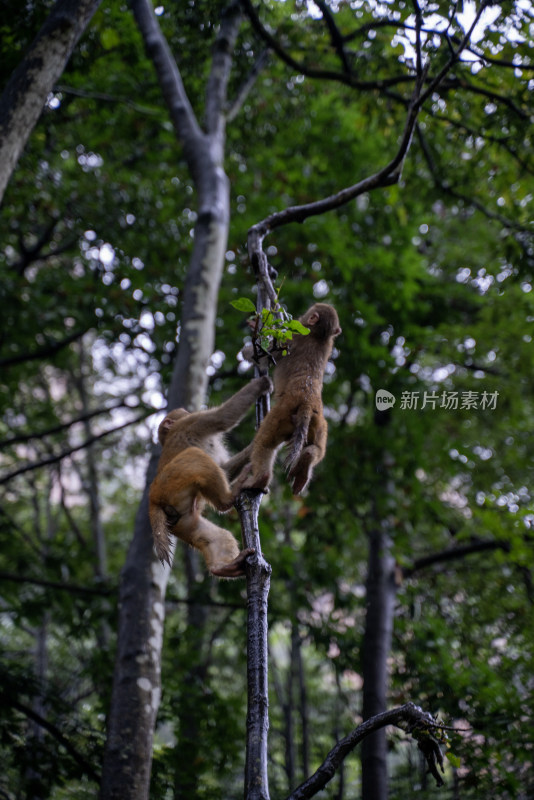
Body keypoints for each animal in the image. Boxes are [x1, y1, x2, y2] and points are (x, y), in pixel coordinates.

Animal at [150, 376, 272, 576]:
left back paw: (224, 567)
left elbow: (225, 469)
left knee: (211, 535)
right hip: (169, 485)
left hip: (181, 521)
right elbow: (223, 417)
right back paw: (228, 499)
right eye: (184, 412)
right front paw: (261, 384)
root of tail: (153, 500)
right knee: (195, 455)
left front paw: (254, 446)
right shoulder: (191, 422)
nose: (188, 410)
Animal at [240, 304, 344, 496]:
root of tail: (308, 403)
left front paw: (254, 330)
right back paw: (307, 462)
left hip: (282, 414)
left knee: (264, 442)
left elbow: (259, 356)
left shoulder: (290, 336)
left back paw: (260, 479)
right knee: (317, 448)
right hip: (318, 423)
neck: (318, 336)